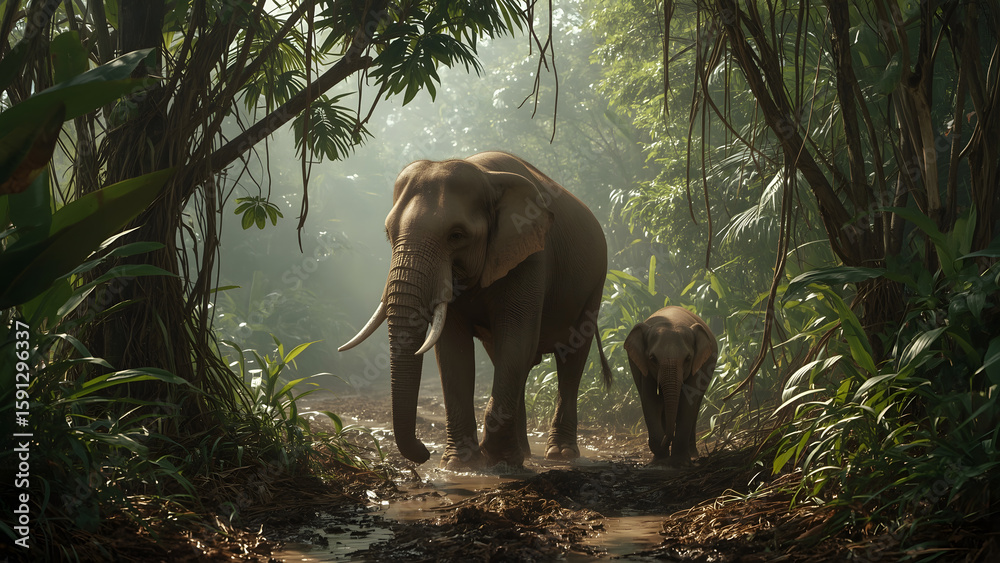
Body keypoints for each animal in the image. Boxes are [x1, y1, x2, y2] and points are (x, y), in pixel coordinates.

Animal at [340, 151, 612, 469]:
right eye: (388, 234)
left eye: (456, 235)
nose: (424, 452)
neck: (485, 174)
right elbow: (452, 349)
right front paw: (461, 464)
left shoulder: (529, 254)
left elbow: (517, 336)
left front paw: (498, 462)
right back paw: (524, 453)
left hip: (594, 284)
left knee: (571, 356)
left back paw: (560, 454)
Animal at [624, 306, 717, 466]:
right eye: (653, 358)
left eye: (688, 358)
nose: (668, 438)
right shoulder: (645, 368)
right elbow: (650, 401)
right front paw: (660, 459)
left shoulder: (698, 366)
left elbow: (687, 403)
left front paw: (680, 462)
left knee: (696, 407)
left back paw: (693, 455)